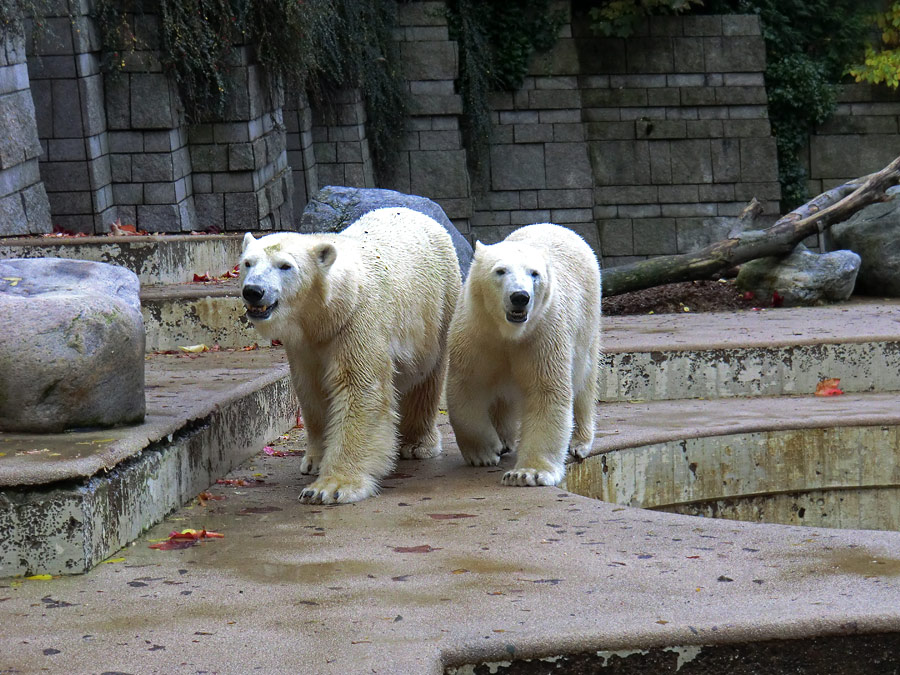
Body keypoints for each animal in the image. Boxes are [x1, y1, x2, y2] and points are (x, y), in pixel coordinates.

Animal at [239, 209, 460, 504]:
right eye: (247, 263)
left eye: (285, 266)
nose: (253, 291)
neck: (328, 312)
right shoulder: (304, 345)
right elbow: (312, 391)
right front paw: (314, 462)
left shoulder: (357, 321)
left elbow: (360, 389)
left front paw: (330, 487)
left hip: (437, 308)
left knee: (426, 377)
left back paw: (417, 444)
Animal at [446, 224, 600, 488]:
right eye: (500, 270)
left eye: (534, 273)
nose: (520, 296)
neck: (508, 331)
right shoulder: (476, 332)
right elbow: (467, 387)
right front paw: (485, 453)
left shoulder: (543, 334)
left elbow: (546, 392)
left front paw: (527, 473)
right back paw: (504, 439)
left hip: (587, 320)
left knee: (584, 380)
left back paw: (580, 442)